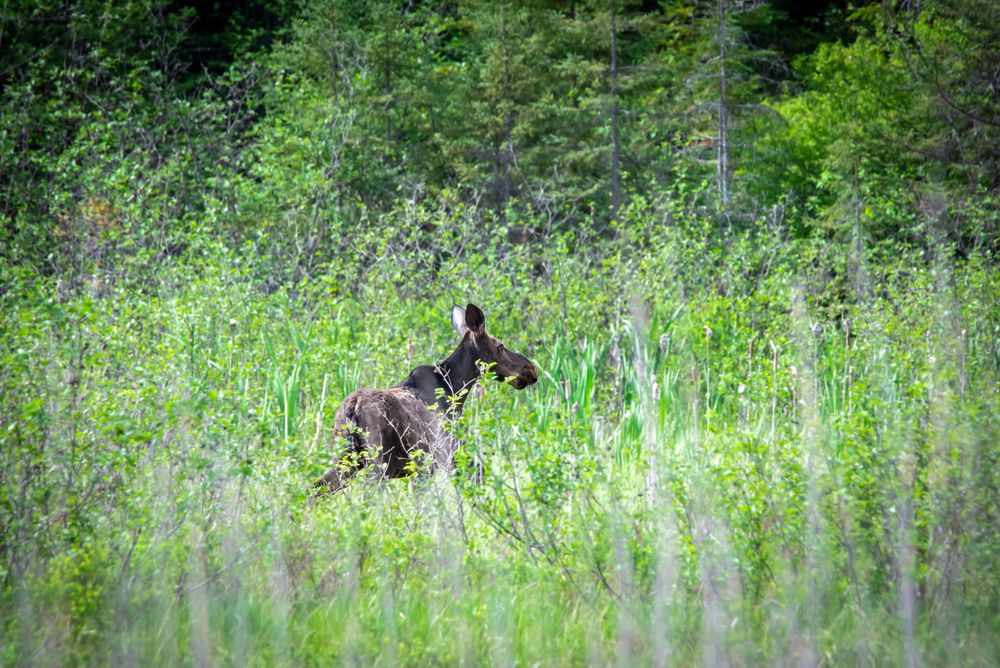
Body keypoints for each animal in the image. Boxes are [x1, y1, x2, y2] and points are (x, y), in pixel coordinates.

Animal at [314, 303, 538, 494]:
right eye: (500, 346)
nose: (530, 369)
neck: (455, 387)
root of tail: (351, 408)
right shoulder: (443, 454)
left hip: (346, 457)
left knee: (316, 489)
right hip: (376, 461)